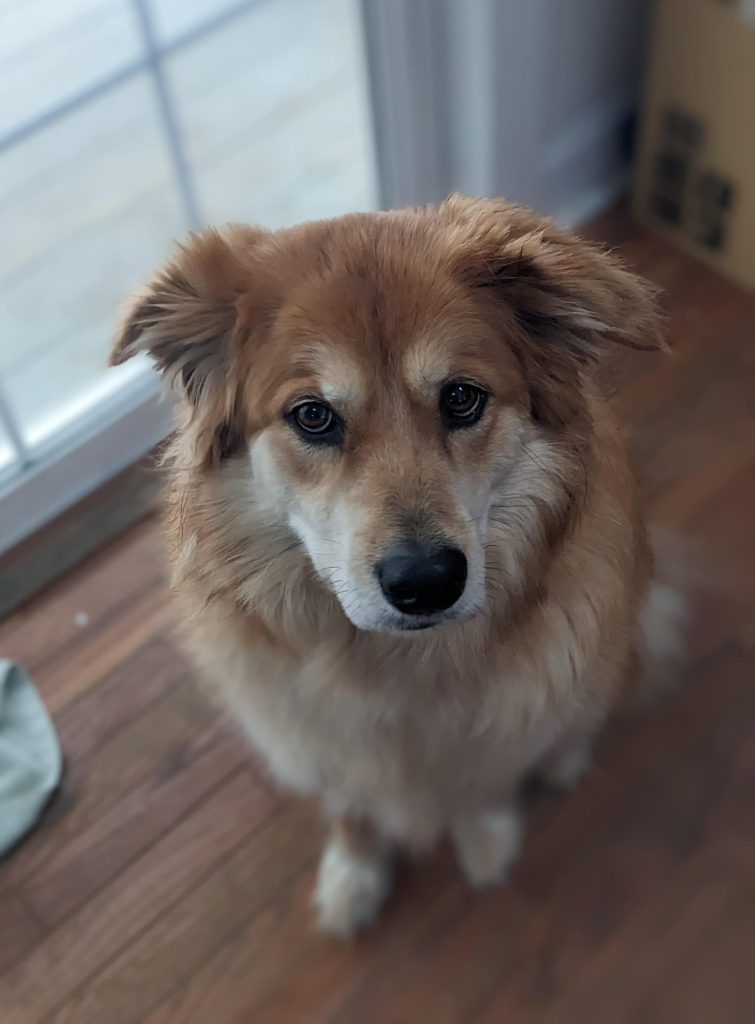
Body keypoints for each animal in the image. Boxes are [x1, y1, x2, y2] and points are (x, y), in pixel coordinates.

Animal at [110, 193, 672, 937]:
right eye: (313, 416)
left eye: (461, 397)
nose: (427, 583)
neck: (402, 671)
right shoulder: (318, 736)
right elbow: (352, 808)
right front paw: (353, 875)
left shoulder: (507, 714)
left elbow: (489, 773)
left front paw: (487, 834)